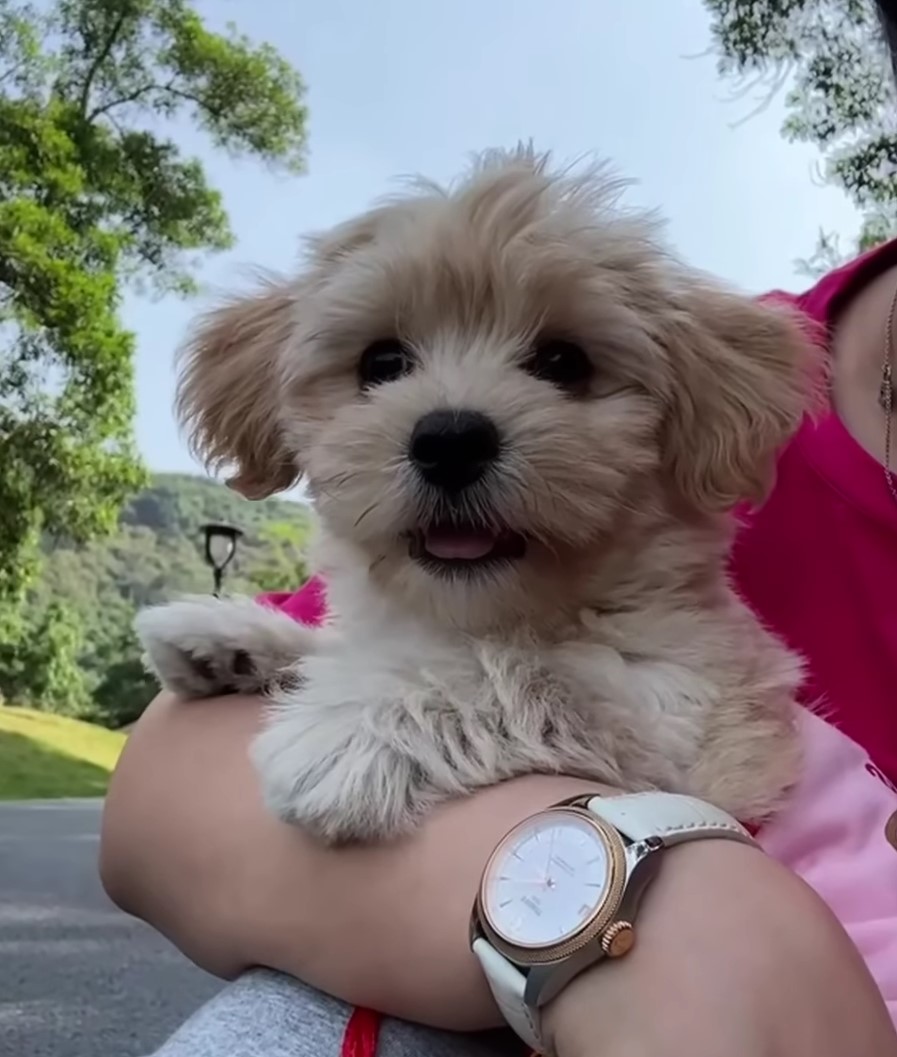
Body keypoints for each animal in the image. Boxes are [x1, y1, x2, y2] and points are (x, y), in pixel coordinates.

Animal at [136, 146, 815, 841]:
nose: (451, 441)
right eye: (381, 363)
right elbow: (372, 648)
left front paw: (350, 729)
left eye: (565, 362)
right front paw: (233, 639)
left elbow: (523, 672)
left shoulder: (691, 719)